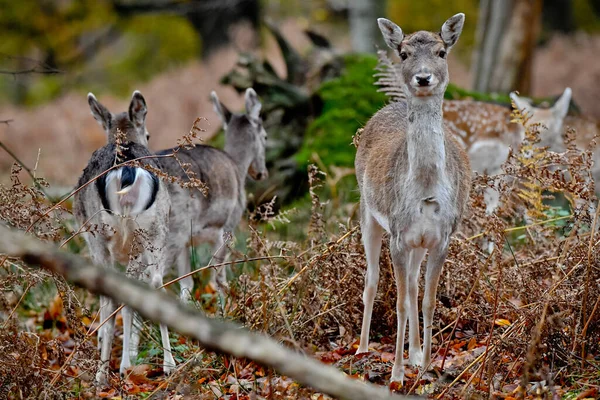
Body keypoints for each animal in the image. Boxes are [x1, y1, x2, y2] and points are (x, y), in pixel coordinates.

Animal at [73, 90, 175, 384]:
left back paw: (103, 372)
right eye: (148, 134)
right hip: (154, 229)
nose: (149, 137)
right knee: (155, 283)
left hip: (101, 236)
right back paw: (168, 364)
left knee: (110, 295)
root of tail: (127, 171)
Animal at [354, 13, 472, 384]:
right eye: (404, 53)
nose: (423, 77)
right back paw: (362, 349)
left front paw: (427, 366)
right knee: (373, 282)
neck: (426, 190)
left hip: (419, 241)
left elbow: (428, 300)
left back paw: (416, 352)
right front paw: (396, 375)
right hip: (368, 213)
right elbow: (401, 302)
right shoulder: (398, 234)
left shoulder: (442, 236)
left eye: (441, 52)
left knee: (412, 287)